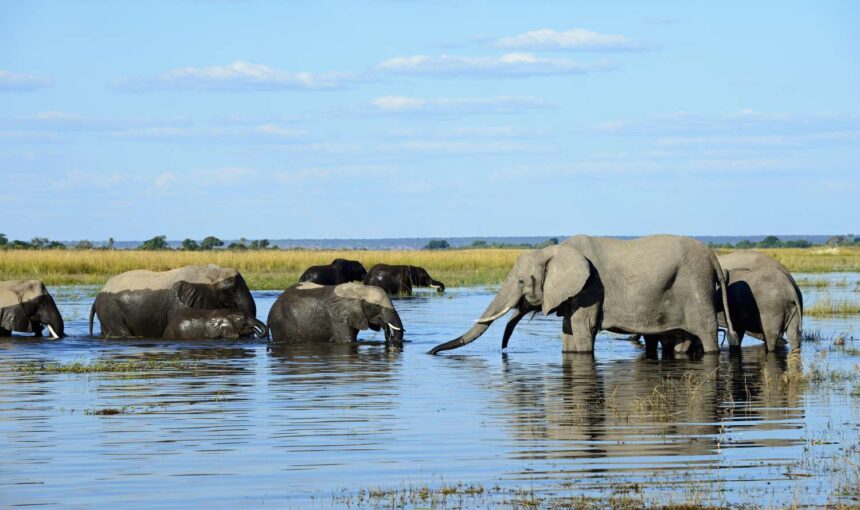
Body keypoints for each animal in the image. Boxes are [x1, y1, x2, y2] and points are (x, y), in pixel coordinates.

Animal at [268, 280, 404, 344]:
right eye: (376, 306)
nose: (389, 336)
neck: (359, 290)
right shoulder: (337, 317)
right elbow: (347, 341)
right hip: (280, 324)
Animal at [434, 234, 736, 354]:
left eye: (520, 281)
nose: (431, 351)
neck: (554, 250)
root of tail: (713, 257)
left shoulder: (591, 288)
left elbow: (583, 329)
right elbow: (568, 332)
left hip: (696, 284)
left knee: (707, 333)